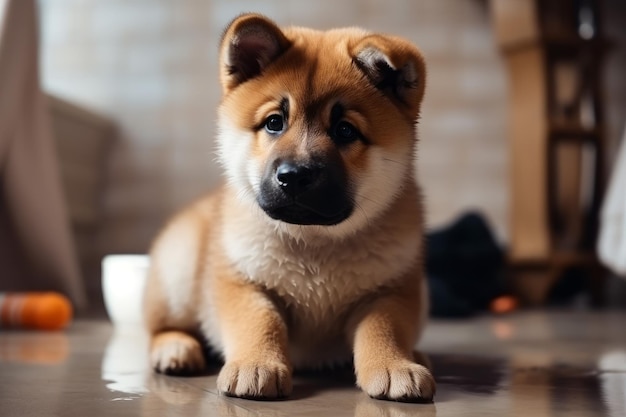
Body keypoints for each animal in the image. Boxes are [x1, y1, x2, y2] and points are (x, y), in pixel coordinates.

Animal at [142, 13, 434, 404]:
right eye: (274, 123)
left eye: (345, 131)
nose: (294, 176)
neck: (315, 243)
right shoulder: (242, 281)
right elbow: (259, 321)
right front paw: (256, 364)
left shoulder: (391, 291)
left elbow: (383, 328)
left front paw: (394, 364)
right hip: (179, 268)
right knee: (162, 327)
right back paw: (175, 348)